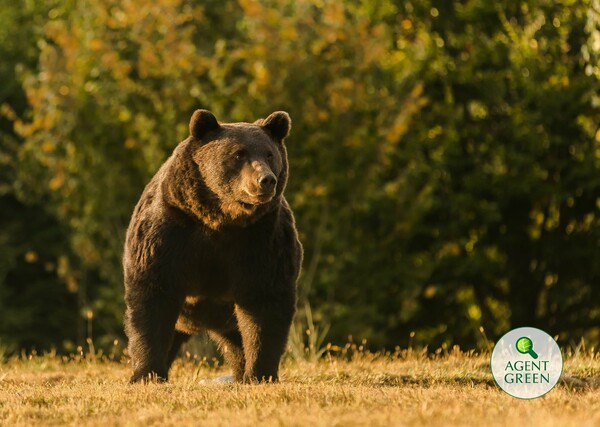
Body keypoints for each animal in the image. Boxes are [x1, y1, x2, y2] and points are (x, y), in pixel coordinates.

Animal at [122, 110, 302, 384]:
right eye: (239, 154)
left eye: (269, 154)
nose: (266, 180)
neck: (221, 218)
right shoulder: (168, 232)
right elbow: (152, 297)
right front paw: (146, 374)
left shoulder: (262, 240)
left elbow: (265, 302)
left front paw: (260, 373)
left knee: (237, 342)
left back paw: (241, 373)